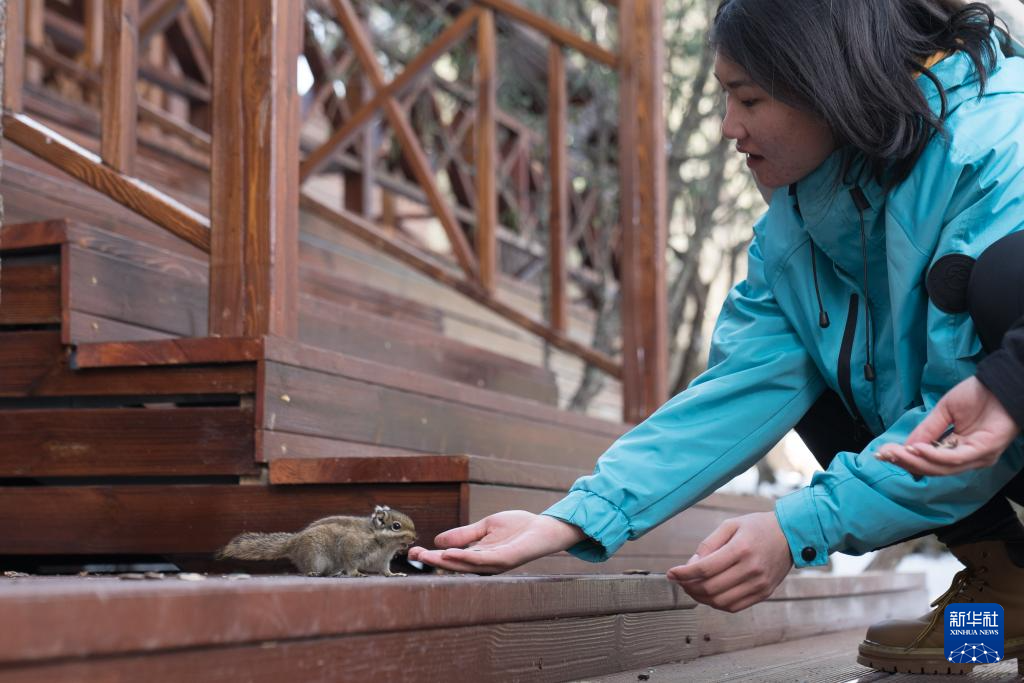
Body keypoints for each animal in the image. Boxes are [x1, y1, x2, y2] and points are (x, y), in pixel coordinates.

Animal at [216, 501, 415, 577]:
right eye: (396, 526)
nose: (414, 538)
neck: (383, 544)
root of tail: (293, 543)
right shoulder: (351, 546)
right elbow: (351, 563)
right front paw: (356, 573)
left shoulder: (383, 560)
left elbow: (385, 570)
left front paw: (394, 574)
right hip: (314, 556)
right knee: (309, 569)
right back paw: (312, 573)